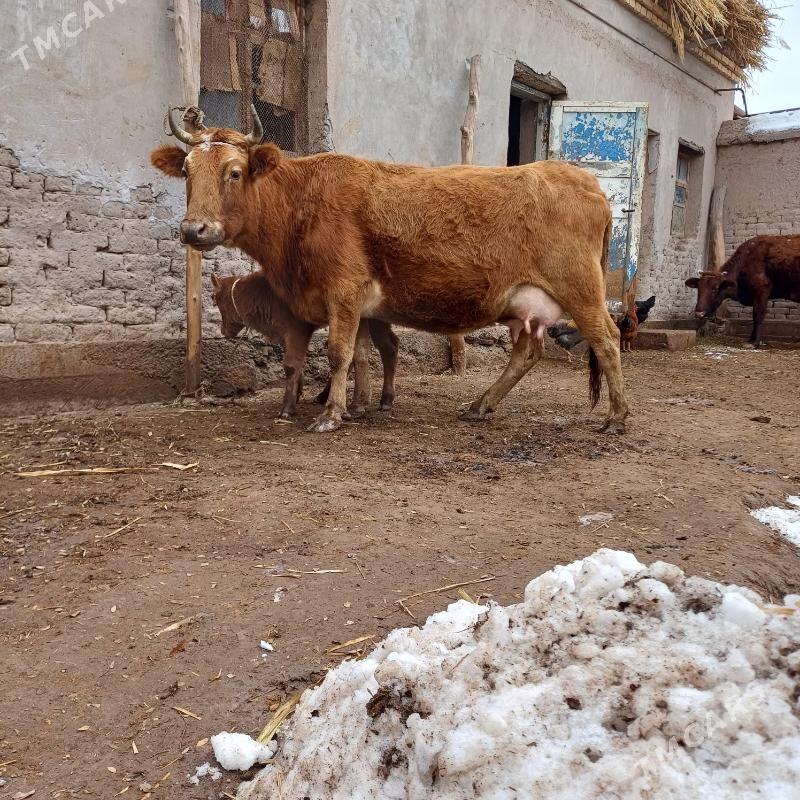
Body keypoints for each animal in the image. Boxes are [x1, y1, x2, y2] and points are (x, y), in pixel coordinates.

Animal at [210, 271, 399, 418]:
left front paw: (287, 408)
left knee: (384, 348)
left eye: (215, 298)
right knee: (387, 346)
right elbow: (297, 364)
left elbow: (291, 364)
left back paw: (384, 400)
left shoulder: (297, 329)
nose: (223, 330)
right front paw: (297, 394)